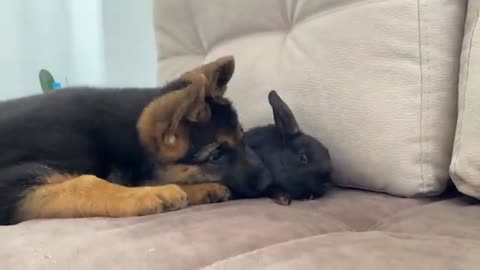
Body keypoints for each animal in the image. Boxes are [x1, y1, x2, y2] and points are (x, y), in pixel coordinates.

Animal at [0, 56, 270, 225]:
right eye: (216, 155)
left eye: (242, 136)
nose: (269, 181)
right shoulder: (10, 181)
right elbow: (86, 182)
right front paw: (145, 195)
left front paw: (199, 189)